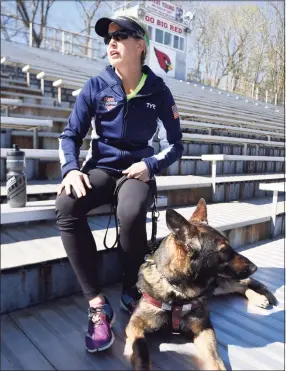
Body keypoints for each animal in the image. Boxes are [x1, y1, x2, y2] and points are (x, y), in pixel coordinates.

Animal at [125, 199, 278, 370]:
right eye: (224, 250)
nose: (254, 268)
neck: (178, 291)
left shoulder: (203, 328)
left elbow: (215, 360)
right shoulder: (135, 325)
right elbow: (142, 353)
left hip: (217, 284)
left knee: (242, 284)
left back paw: (260, 297)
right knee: (240, 285)